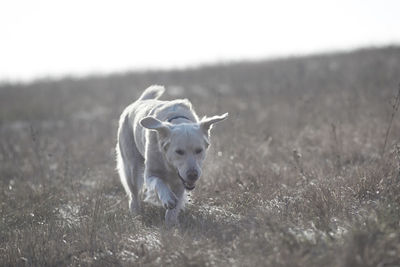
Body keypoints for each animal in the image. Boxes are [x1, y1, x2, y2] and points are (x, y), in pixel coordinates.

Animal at [115, 85, 228, 226]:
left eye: (199, 150)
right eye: (179, 151)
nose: (193, 175)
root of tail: (139, 101)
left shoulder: (180, 180)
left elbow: (175, 204)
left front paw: (171, 223)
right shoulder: (150, 174)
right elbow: (158, 182)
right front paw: (168, 199)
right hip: (131, 168)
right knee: (134, 195)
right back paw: (136, 214)